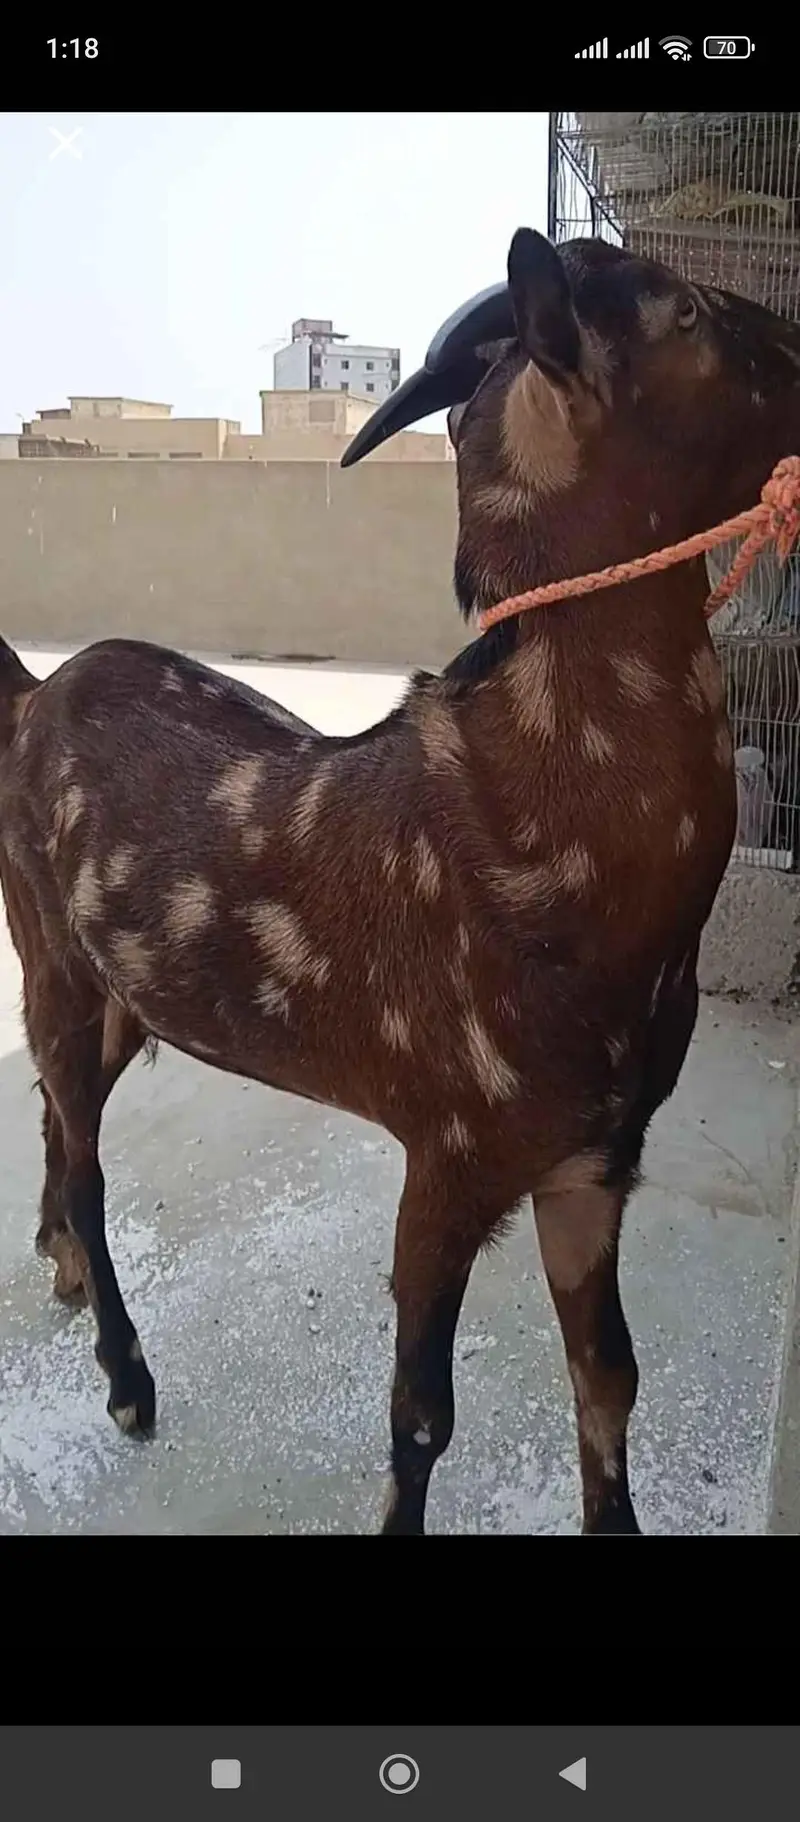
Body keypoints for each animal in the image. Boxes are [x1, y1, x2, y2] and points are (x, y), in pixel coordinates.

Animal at [1, 229, 798, 1534]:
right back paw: (127, 1380)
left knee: (64, 1130)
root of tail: (28, 692)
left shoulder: (594, 1154)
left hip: (126, 992)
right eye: (683, 311)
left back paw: (61, 1271)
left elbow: (610, 1375)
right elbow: (420, 1414)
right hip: (50, 957)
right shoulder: (447, 1139)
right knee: (85, 1153)